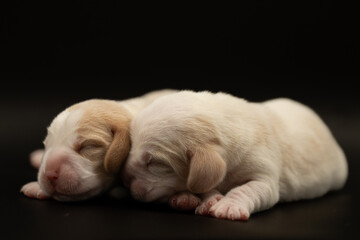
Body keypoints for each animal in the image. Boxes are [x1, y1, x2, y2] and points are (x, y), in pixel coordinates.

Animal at [121, 90, 348, 221]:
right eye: (131, 145)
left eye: (154, 163)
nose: (124, 179)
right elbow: (205, 186)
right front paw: (210, 199)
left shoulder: (264, 175)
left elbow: (247, 189)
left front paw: (228, 206)